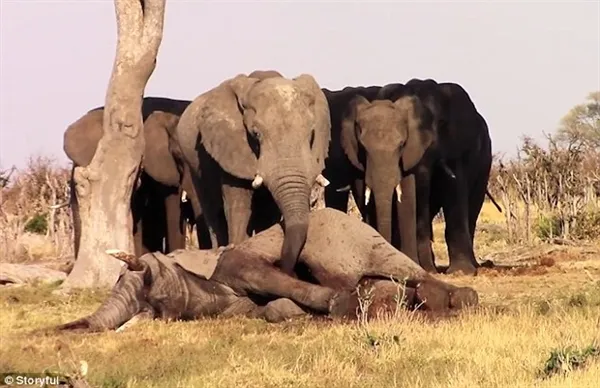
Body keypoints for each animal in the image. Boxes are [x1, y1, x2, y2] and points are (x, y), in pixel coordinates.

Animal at [49, 208, 478, 332]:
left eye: (148, 276)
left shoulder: (231, 260)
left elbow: (253, 269)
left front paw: (340, 305)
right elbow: (271, 308)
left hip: (355, 234)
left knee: (408, 271)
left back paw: (458, 299)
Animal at [173, 70, 332, 276]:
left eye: (311, 133)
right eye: (256, 134)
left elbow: (268, 210)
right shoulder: (230, 148)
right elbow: (238, 203)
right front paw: (237, 249)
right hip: (193, 164)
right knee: (212, 209)